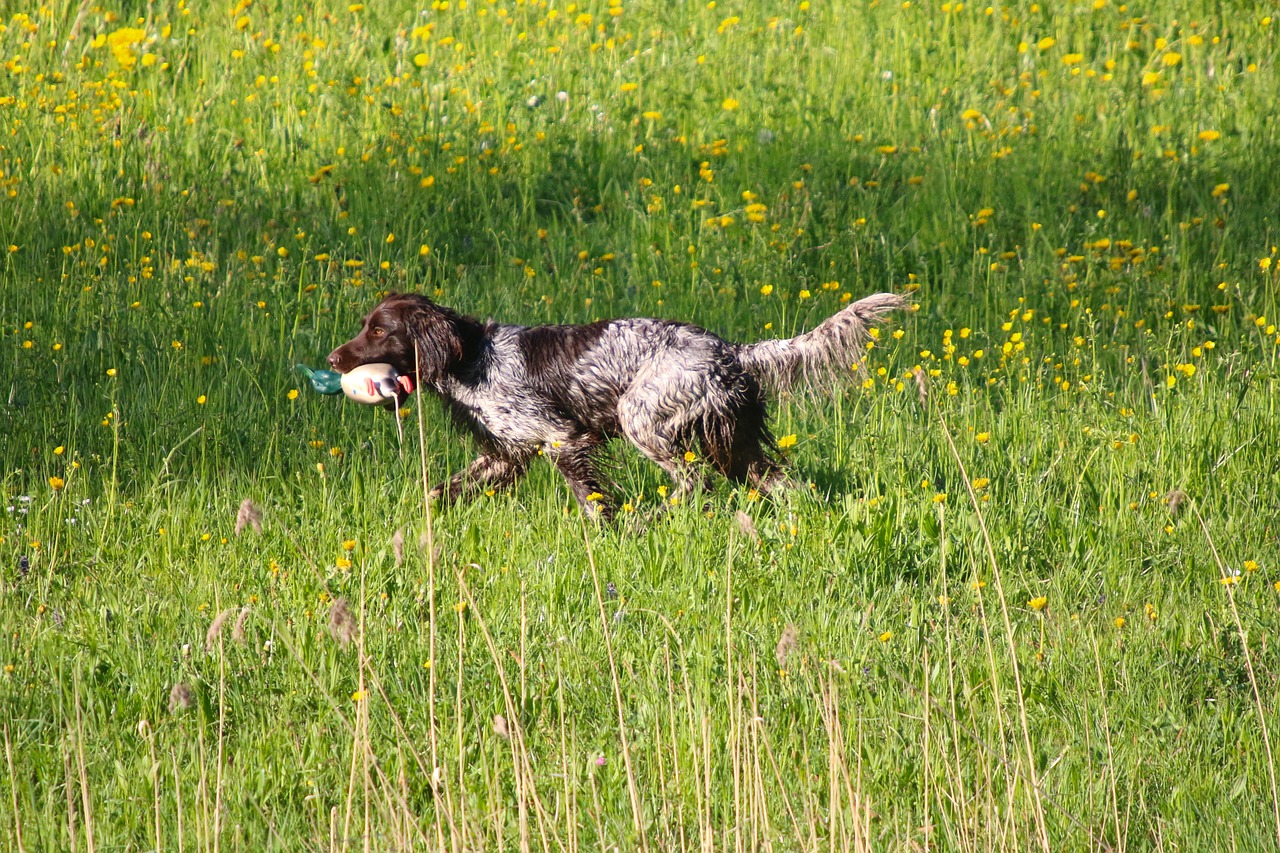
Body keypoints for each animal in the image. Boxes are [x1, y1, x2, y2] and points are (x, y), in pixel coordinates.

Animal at [330, 289, 911, 514]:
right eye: (365, 325)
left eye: (379, 330)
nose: (335, 359)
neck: (472, 357)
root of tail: (732, 351)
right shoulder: (504, 455)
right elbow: (442, 491)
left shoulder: (561, 438)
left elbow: (592, 501)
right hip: (735, 444)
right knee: (779, 481)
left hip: (643, 418)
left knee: (693, 482)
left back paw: (659, 515)